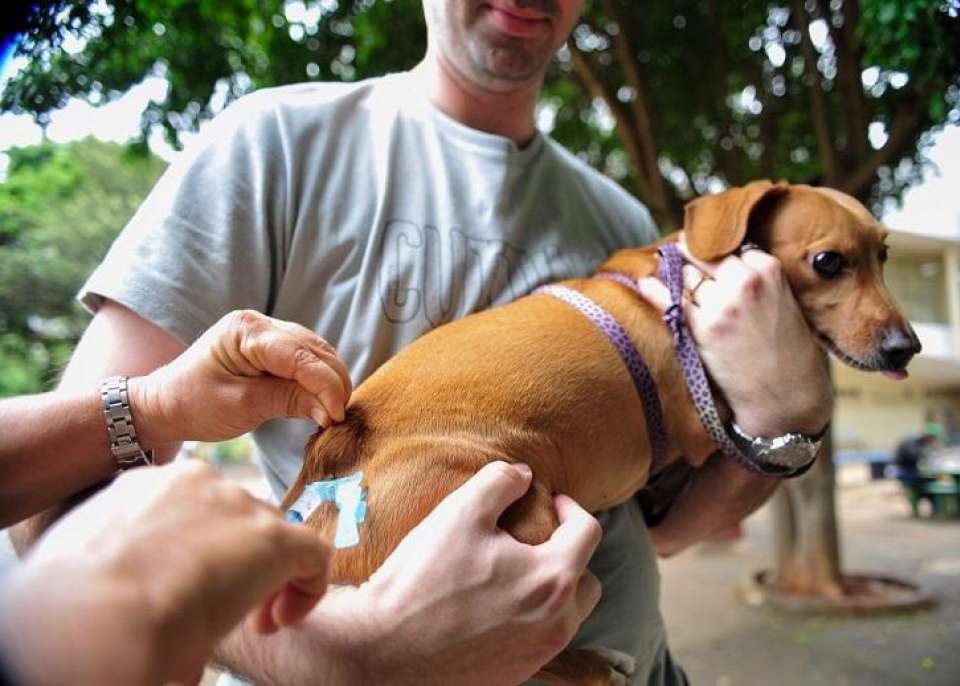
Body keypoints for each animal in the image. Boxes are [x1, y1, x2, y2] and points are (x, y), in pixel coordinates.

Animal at [281, 180, 920, 684]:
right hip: (526, 515)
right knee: (510, 655)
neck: (681, 279)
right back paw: (597, 665)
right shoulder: (702, 427)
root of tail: (332, 461)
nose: (907, 347)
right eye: (829, 262)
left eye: (885, 254)